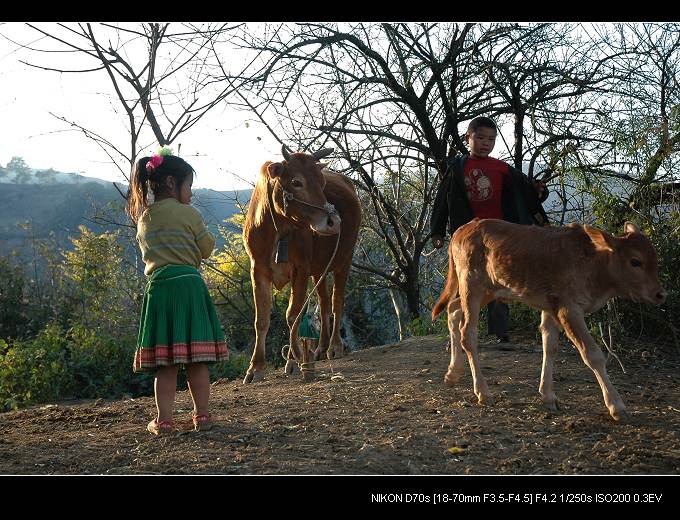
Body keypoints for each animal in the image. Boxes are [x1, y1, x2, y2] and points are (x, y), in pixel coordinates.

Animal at [243, 146, 362, 382]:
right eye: (297, 182)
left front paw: (294, 360)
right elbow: (261, 320)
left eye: (322, 183)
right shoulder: (258, 270)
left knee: (336, 301)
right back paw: (320, 349)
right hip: (319, 269)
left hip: (345, 259)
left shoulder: (301, 269)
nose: (333, 221)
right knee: (323, 303)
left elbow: (293, 315)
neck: (276, 229)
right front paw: (255, 368)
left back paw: (334, 347)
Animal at [432, 217, 668, 420]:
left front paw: (548, 396)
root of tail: (461, 230)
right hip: (472, 283)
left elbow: (550, 346)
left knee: (453, 310)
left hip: (490, 289)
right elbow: (592, 354)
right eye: (635, 261)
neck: (593, 266)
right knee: (467, 333)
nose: (660, 294)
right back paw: (482, 391)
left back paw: (452, 373)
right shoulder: (568, 308)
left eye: (655, 259)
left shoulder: (550, 306)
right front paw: (616, 405)